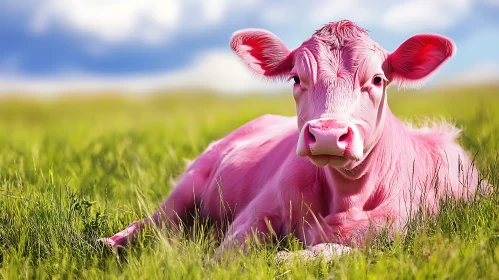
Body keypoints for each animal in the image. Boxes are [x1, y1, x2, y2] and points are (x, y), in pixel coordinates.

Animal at [98, 19, 484, 260]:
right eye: (296, 78)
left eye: (377, 79)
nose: (327, 134)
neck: (345, 196)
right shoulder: (255, 213)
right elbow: (227, 256)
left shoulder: (397, 235)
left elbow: (331, 252)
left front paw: (290, 258)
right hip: (191, 181)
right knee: (157, 222)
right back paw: (110, 243)